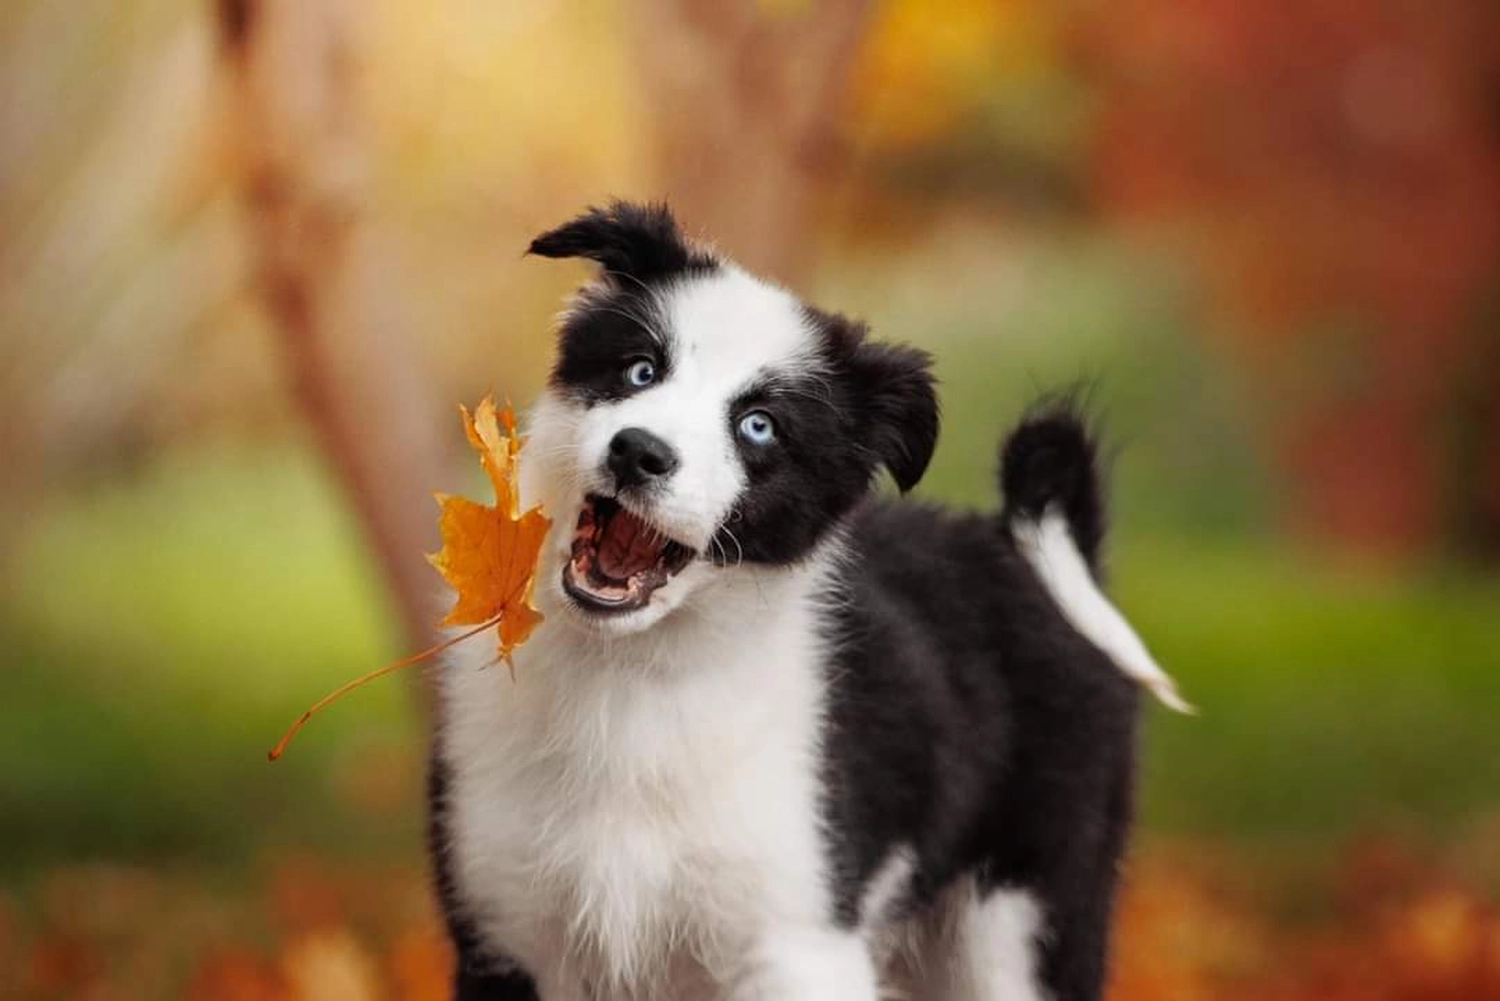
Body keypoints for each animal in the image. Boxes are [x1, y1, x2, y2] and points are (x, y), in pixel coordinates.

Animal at [426, 204, 1182, 1001]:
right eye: (640, 369)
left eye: (758, 425)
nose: (638, 451)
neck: (634, 677)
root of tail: (1031, 550)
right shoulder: (504, 932)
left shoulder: (797, 939)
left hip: (1029, 911)